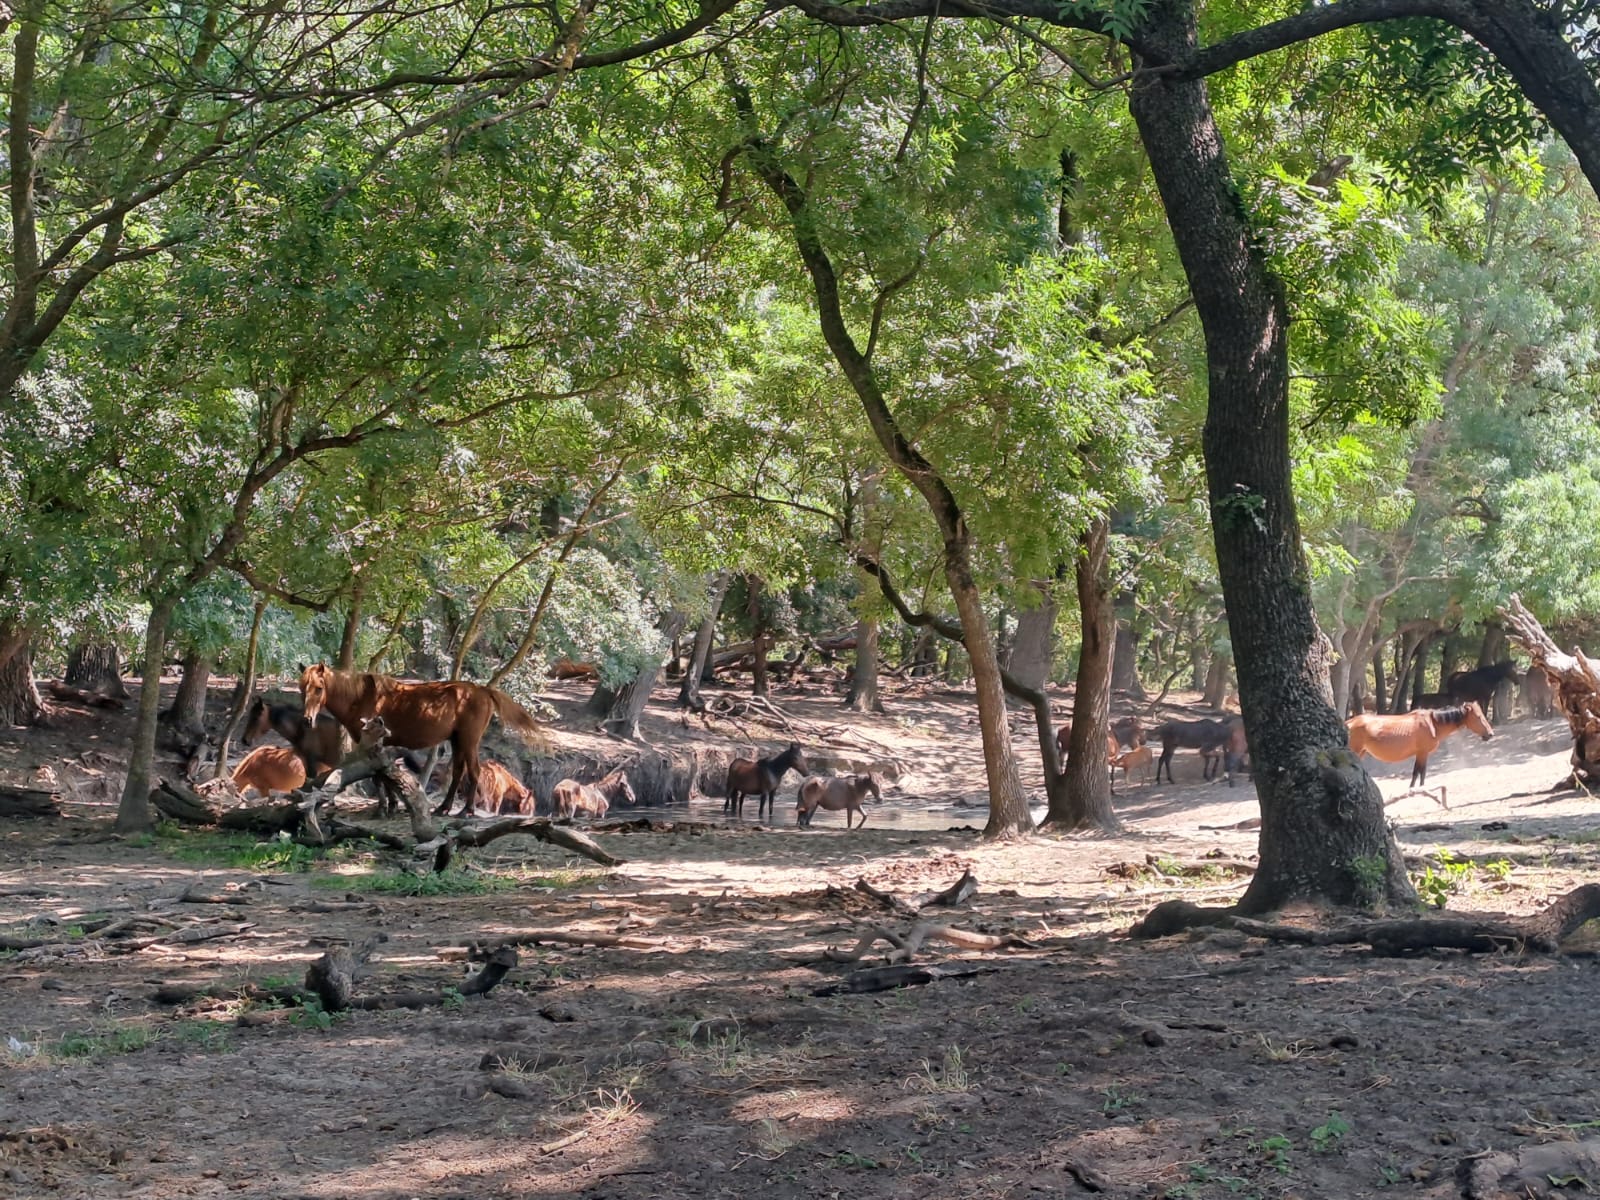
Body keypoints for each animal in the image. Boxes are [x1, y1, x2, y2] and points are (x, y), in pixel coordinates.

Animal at [298, 664, 543, 817]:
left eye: (319, 688)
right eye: (302, 688)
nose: (307, 719)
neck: (361, 697)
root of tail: (482, 691)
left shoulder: (372, 745)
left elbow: (379, 778)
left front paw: (384, 808)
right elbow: (383, 776)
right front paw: (391, 806)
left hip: (469, 741)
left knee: (473, 772)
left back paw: (467, 811)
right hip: (457, 741)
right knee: (457, 773)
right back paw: (444, 808)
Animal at [1345, 701, 1493, 787]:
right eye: (1478, 717)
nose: (1490, 734)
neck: (1432, 723)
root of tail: (1349, 723)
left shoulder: (1421, 754)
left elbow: (1418, 772)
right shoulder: (1423, 752)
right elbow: (1420, 772)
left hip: (1361, 752)